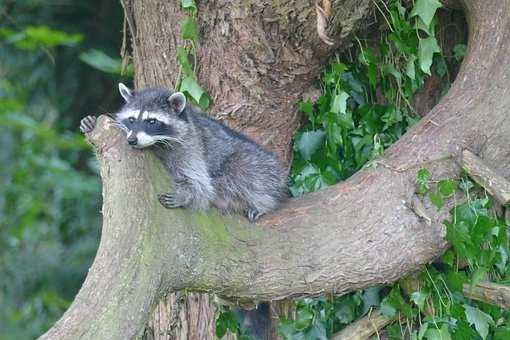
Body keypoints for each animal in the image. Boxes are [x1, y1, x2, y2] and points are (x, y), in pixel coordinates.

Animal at [79, 82, 286, 220]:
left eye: (151, 121)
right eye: (131, 119)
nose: (132, 140)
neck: (155, 144)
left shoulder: (189, 146)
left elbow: (199, 183)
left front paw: (186, 194)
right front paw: (90, 124)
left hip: (256, 162)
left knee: (245, 174)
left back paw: (263, 203)